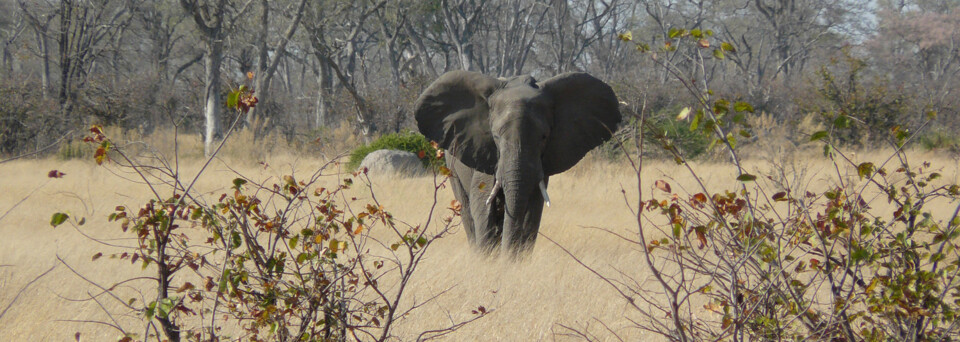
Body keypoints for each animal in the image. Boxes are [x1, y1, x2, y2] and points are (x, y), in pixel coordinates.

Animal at [414, 71, 624, 255]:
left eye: (544, 137)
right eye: (496, 137)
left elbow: (532, 211)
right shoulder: (485, 154)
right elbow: (482, 205)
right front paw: (490, 260)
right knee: (467, 210)